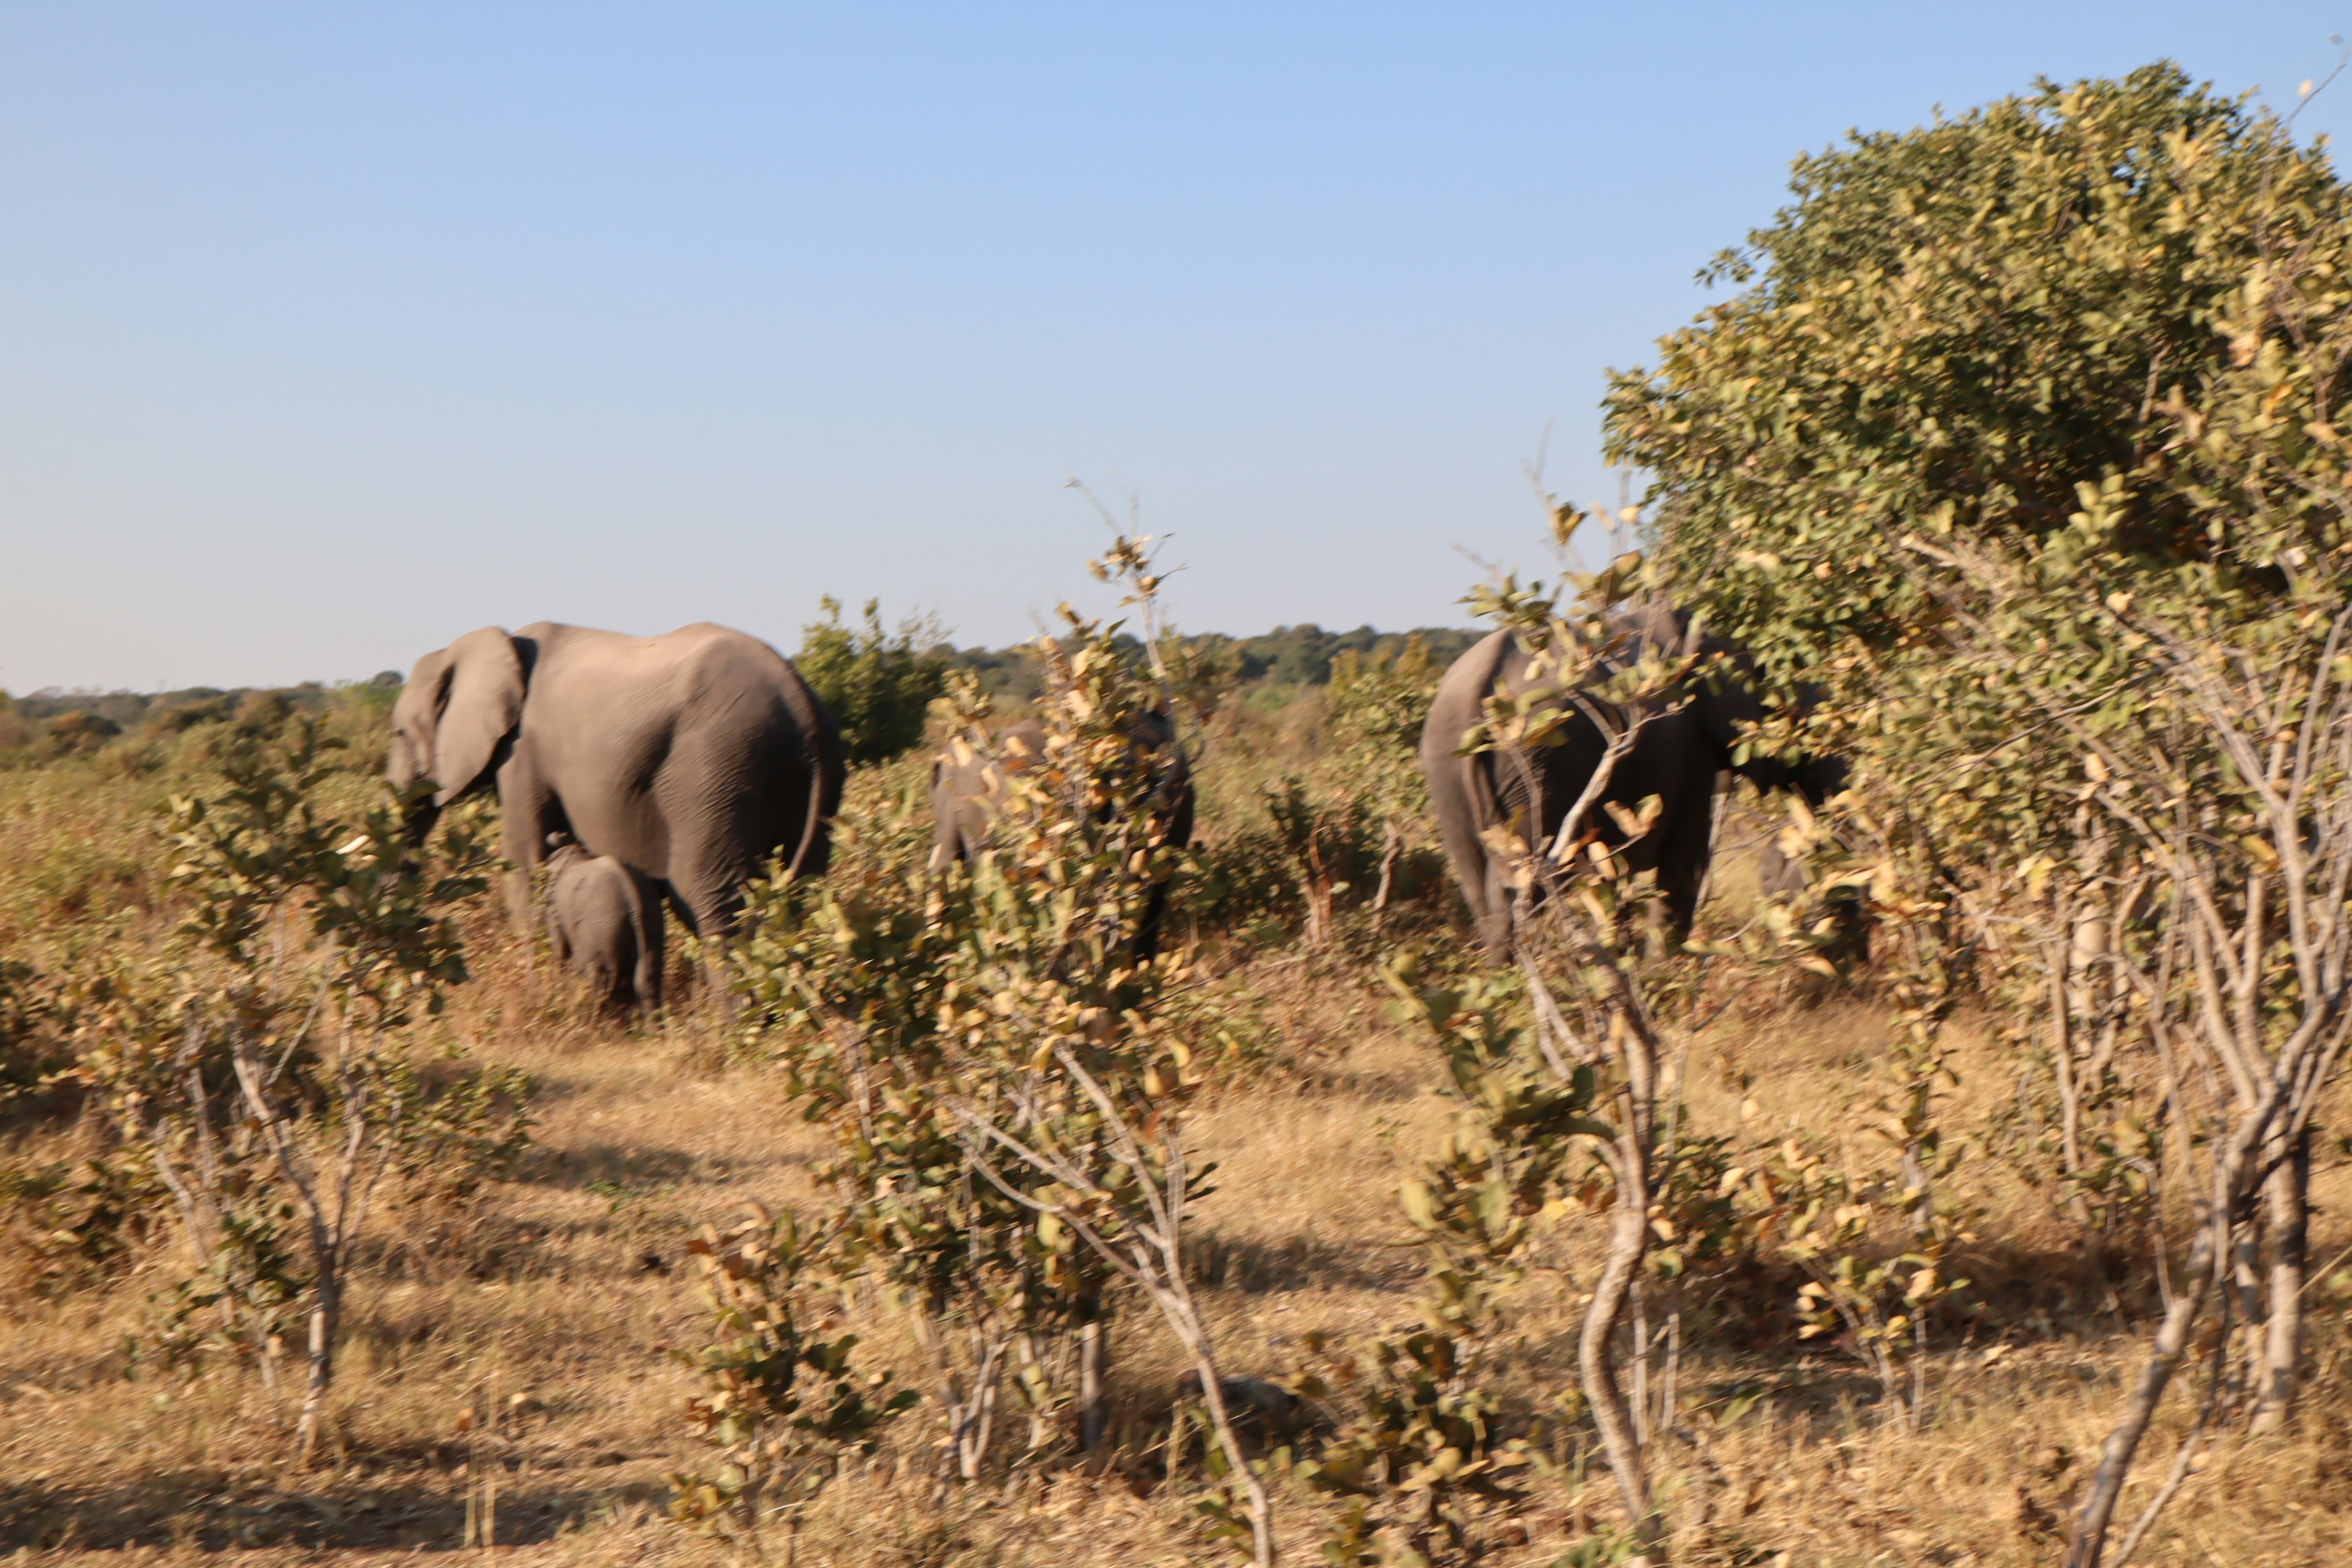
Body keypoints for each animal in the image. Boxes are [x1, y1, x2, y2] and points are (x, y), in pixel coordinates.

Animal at [390, 620, 851, 944]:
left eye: (398, 734)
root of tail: (801, 704)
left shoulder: (522, 754)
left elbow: (525, 857)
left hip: (719, 765)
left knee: (713, 898)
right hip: (808, 778)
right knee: (801, 889)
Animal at [541, 832, 663, 1020]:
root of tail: (634, 902)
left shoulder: (556, 910)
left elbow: (560, 947)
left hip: (602, 931)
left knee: (596, 977)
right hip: (651, 924)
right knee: (647, 979)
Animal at [1411, 611, 1853, 959]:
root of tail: (1478, 693)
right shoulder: (1689, 747)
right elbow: (1684, 864)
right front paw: (1666, 984)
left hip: (1447, 769)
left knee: (1481, 889)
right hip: (1538, 757)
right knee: (1521, 885)